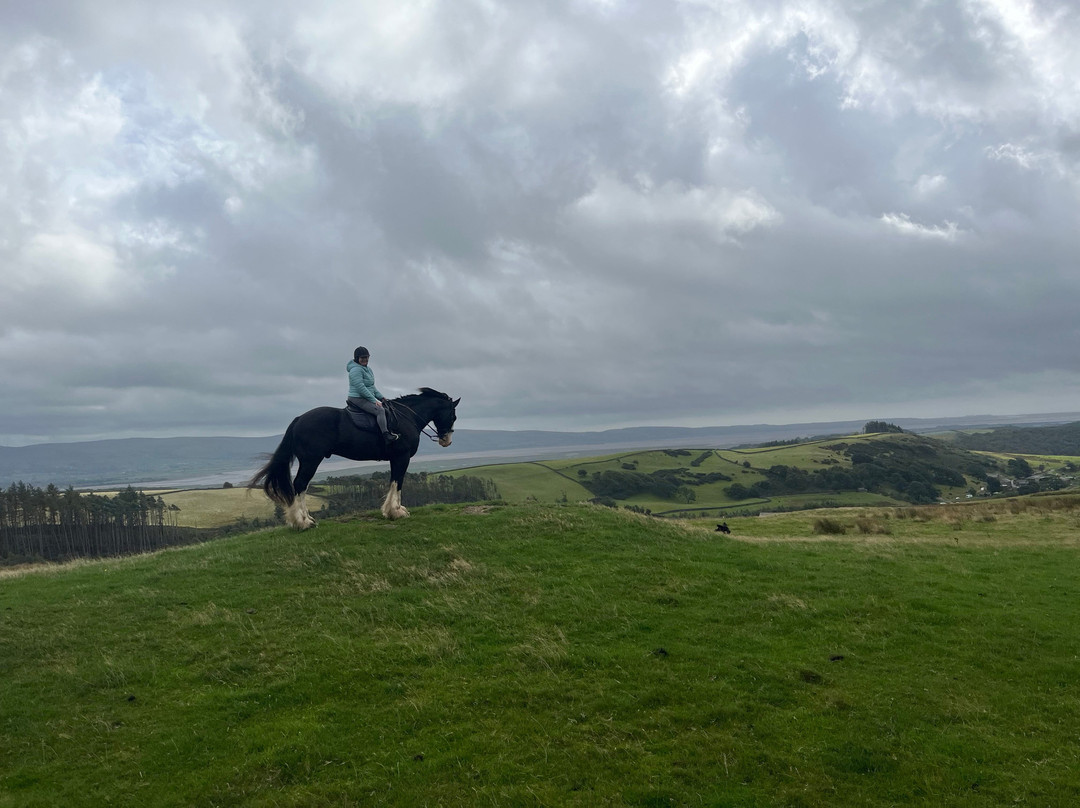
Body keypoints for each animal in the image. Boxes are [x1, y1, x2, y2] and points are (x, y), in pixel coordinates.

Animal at [250, 387, 460, 529]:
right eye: (453, 416)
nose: (447, 441)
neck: (406, 417)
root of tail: (299, 419)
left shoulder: (396, 458)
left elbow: (393, 481)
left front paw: (391, 511)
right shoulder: (402, 456)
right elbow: (398, 481)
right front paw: (396, 511)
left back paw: (305, 520)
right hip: (311, 460)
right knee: (300, 485)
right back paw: (303, 522)